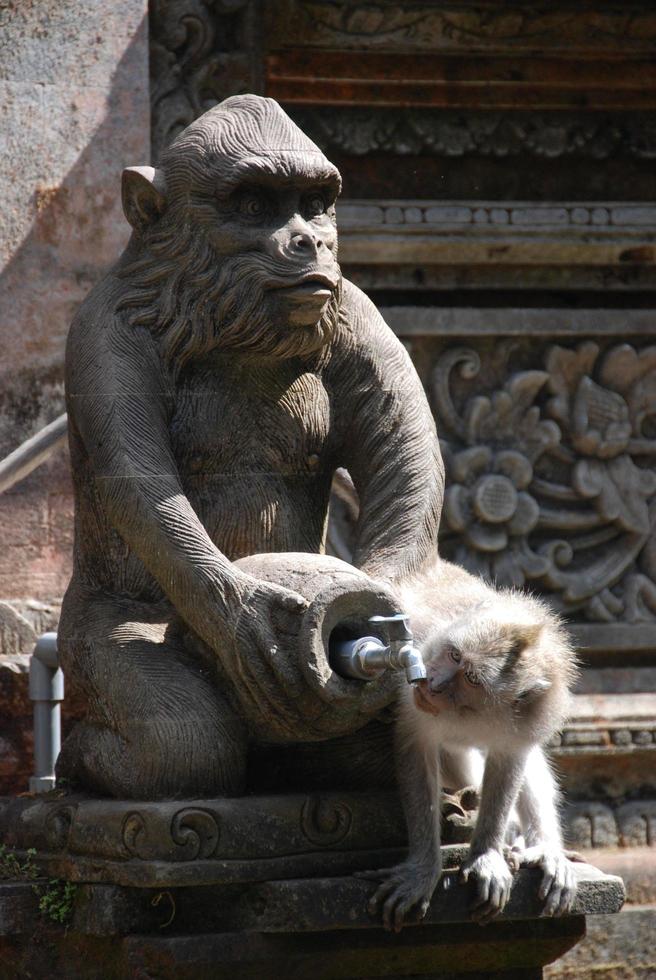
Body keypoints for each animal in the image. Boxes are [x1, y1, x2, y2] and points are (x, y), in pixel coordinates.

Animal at [364, 560, 580, 936]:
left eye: (472, 678)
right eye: (453, 654)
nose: (433, 684)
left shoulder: (530, 715)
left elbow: (511, 760)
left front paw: (486, 855)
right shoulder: (413, 677)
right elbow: (416, 748)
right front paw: (423, 870)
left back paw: (538, 846)